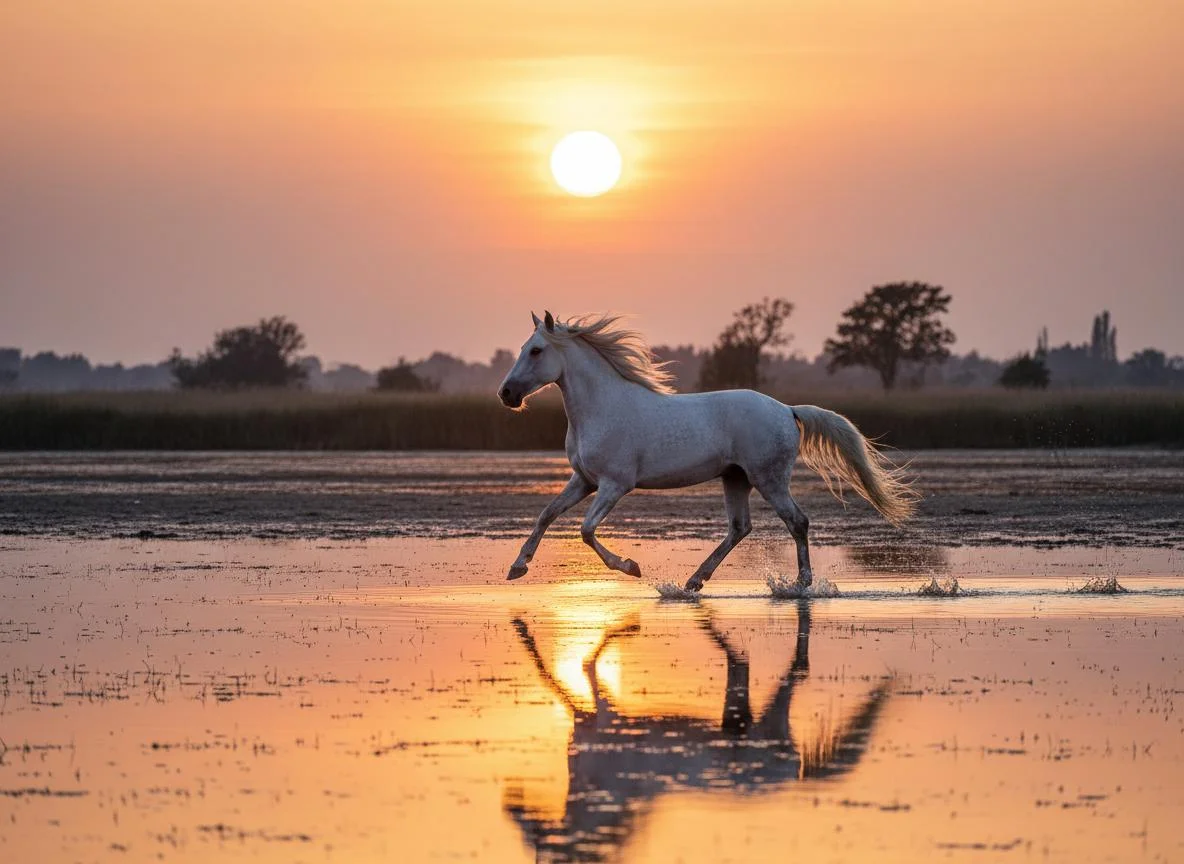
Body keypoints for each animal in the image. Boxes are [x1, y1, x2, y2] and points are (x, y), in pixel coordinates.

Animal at [497, 311, 917, 592]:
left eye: (536, 351)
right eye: (523, 348)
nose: (506, 394)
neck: (601, 408)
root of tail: (787, 409)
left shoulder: (615, 485)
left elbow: (585, 530)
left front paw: (631, 566)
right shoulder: (583, 480)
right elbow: (546, 515)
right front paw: (517, 567)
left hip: (769, 479)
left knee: (797, 521)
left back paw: (800, 585)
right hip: (736, 479)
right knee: (740, 527)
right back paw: (694, 581)